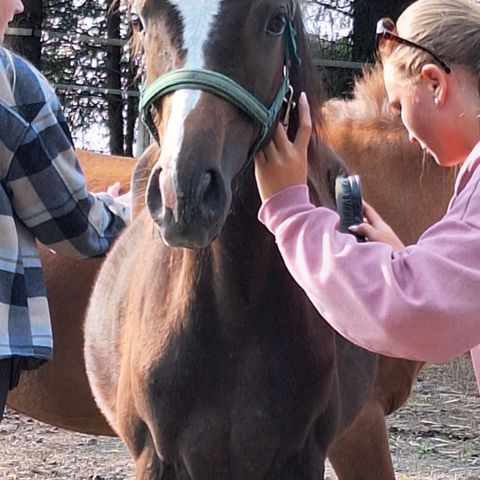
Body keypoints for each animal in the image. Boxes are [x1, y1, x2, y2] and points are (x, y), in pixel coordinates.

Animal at [80, 1, 430, 478]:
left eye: (275, 21)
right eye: (138, 21)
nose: (184, 193)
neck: (232, 315)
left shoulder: (302, 455)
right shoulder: (157, 457)